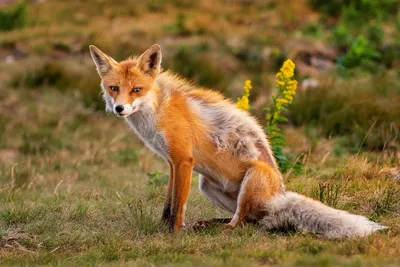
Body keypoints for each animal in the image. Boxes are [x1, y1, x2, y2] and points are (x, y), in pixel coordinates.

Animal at [89, 44, 386, 241]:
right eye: (114, 88)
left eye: (136, 90)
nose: (119, 109)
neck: (156, 110)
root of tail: (278, 198)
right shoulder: (173, 163)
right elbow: (168, 204)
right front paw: (164, 228)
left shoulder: (184, 159)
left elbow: (177, 207)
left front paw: (173, 235)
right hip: (207, 185)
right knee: (250, 221)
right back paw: (207, 223)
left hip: (250, 179)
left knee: (239, 224)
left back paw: (215, 229)